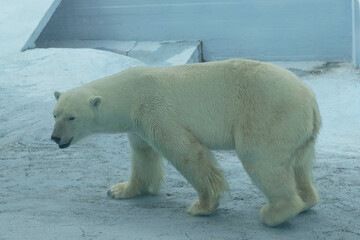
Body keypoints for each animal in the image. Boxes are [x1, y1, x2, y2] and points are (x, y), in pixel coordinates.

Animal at [50, 58, 320, 227]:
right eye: (55, 114)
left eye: (71, 117)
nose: (55, 138)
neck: (131, 93)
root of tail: (309, 98)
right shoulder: (138, 126)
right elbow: (143, 156)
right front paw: (119, 190)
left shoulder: (156, 112)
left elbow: (187, 153)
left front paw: (202, 206)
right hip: (300, 131)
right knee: (299, 165)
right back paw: (306, 200)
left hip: (266, 115)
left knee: (260, 159)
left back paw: (275, 212)